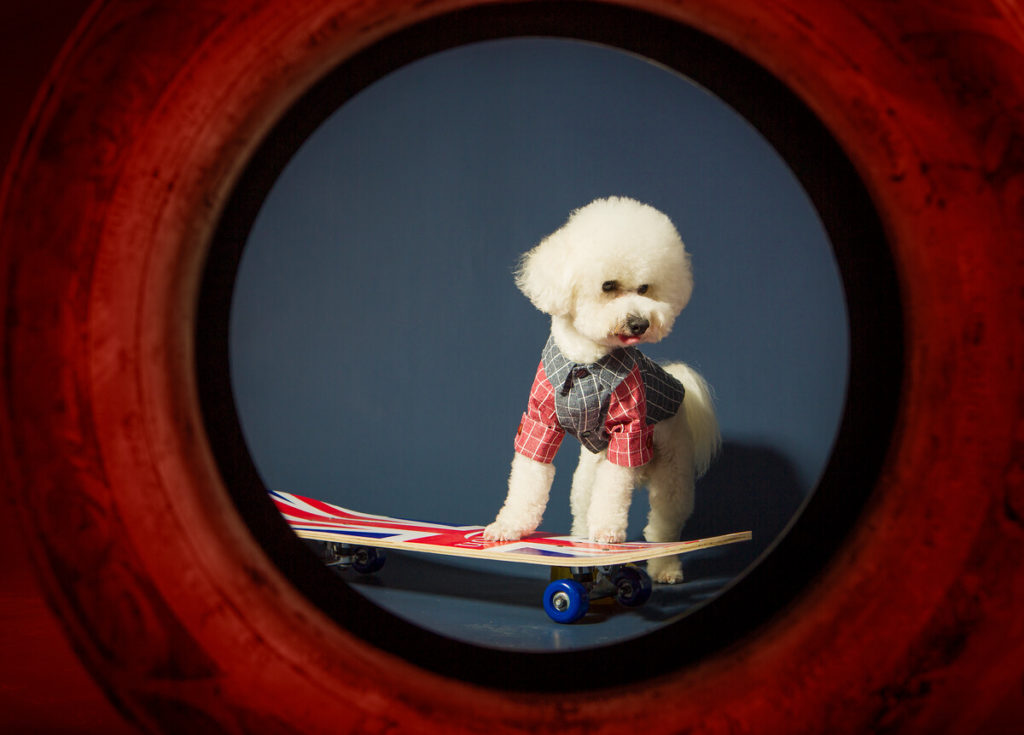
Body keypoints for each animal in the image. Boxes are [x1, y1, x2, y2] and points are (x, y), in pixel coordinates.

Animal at [485, 197, 720, 585]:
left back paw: (665, 567)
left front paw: (608, 533)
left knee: (663, 526)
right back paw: (582, 547)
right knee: (584, 507)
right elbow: (528, 475)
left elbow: (613, 492)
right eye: (608, 286)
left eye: (645, 289)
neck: (586, 362)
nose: (640, 322)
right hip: (586, 475)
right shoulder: (539, 421)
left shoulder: (627, 430)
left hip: (674, 472)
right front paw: (509, 526)